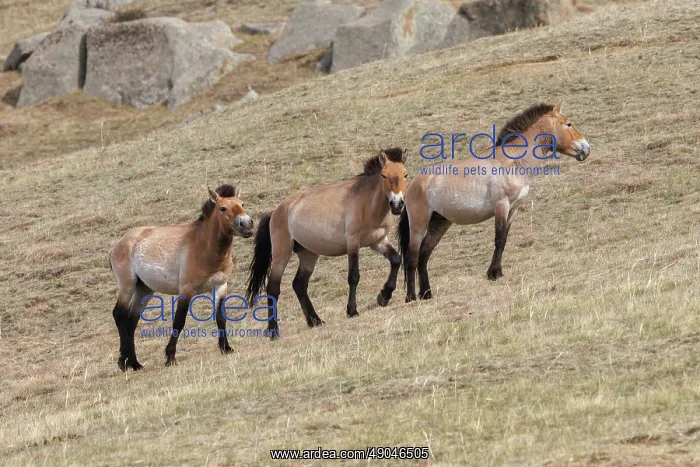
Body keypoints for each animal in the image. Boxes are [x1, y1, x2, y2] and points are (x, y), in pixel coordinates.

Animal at [109, 184, 254, 370]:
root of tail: (118, 244)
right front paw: (170, 357)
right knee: (119, 315)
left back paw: (135, 362)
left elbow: (220, 317)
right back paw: (125, 362)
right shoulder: (186, 291)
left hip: (144, 289)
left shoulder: (220, 287)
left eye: (242, 203)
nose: (247, 224)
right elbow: (179, 322)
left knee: (131, 320)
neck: (204, 247)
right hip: (128, 285)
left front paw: (226, 348)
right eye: (223, 208)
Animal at [246, 148, 409, 337]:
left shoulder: (378, 241)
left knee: (299, 285)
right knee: (273, 288)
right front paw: (352, 311)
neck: (367, 203)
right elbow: (354, 277)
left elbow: (396, 260)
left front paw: (384, 296)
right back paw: (273, 331)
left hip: (308, 254)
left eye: (405, 174)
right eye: (384, 175)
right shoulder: (353, 244)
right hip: (281, 254)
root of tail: (275, 211)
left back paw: (315, 321)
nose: (397, 204)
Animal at [397, 103, 590, 302]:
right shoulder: (501, 205)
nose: (586, 149)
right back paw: (411, 297)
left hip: (440, 222)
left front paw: (496, 271)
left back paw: (427, 293)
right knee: (412, 258)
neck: (512, 162)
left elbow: (504, 239)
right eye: (568, 124)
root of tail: (412, 185)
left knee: (424, 255)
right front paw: (494, 273)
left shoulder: (513, 209)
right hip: (418, 224)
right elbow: (499, 238)